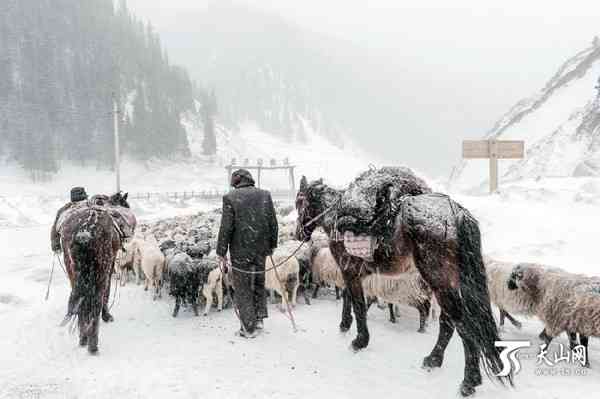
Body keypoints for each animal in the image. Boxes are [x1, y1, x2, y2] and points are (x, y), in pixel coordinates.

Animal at [58, 192, 134, 354]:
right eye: (126, 204)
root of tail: (84, 230)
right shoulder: (110, 267)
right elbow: (106, 293)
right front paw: (106, 316)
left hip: (73, 272)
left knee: (81, 301)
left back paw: (83, 338)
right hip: (100, 272)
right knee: (96, 300)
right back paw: (92, 344)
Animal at [296, 179, 510, 396]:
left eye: (299, 203)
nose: (299, 233)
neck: (337, 217)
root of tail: (455, 213)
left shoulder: (349, 271)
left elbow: (358, 305)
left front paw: (359, 340)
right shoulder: (356, 274)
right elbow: (350, 299)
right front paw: (345, 325)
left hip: (439, 281)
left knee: (464, 325)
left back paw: (469, 381)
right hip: (446, 284)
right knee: (448, 322)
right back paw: (434, 359)